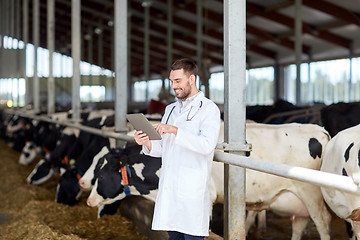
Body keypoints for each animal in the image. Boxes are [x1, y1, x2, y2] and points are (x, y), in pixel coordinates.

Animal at [86, 123, 330, 239]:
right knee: (298, 227)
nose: (88, 201)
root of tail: (318, 129)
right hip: (297, 202)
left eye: (101, 175)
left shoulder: (207, 198)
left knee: (323, 226)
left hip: (312, 195)